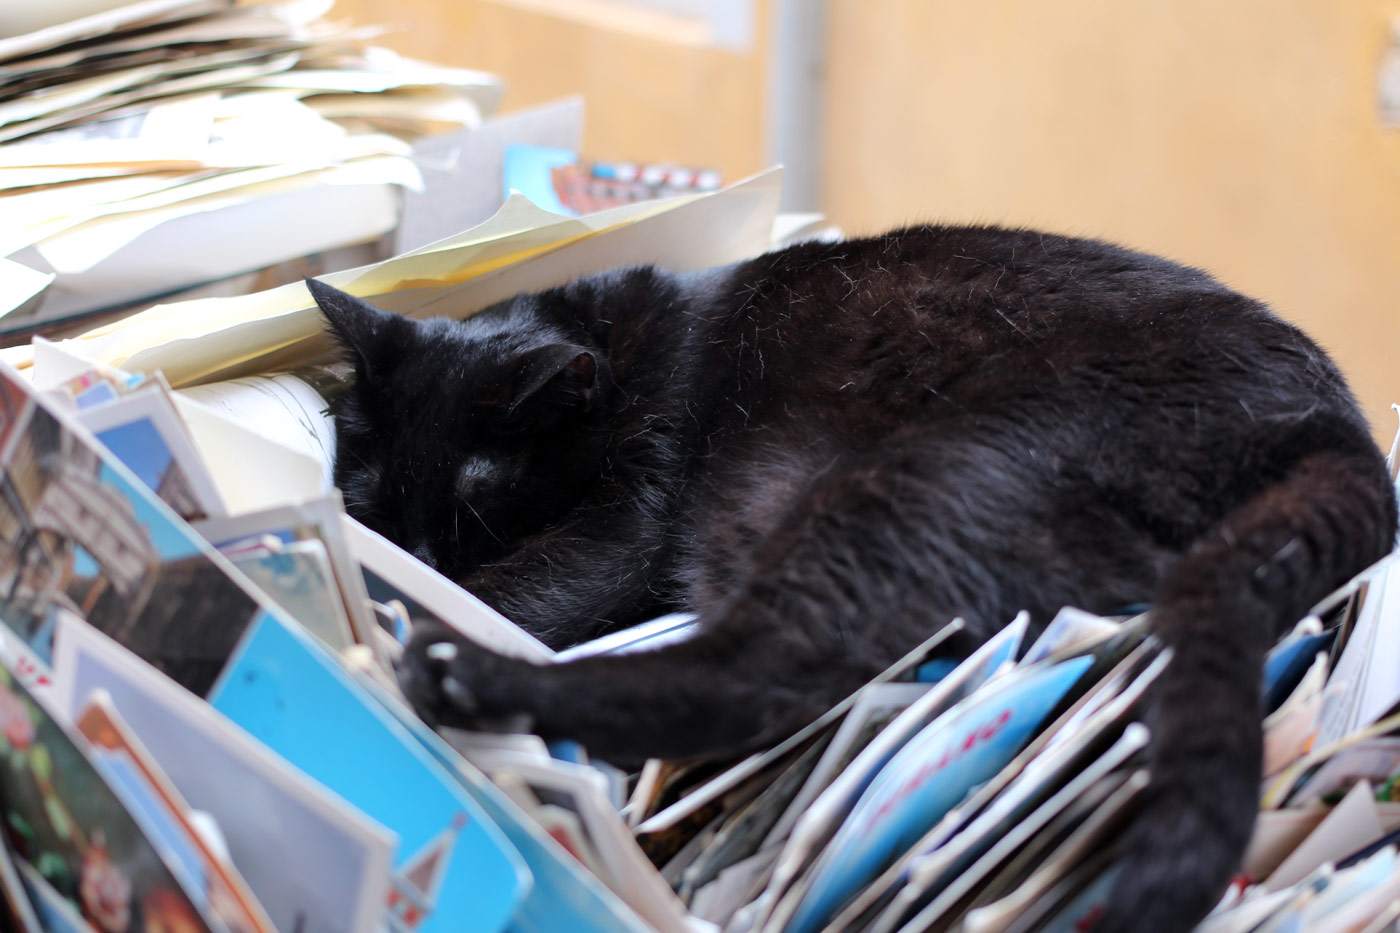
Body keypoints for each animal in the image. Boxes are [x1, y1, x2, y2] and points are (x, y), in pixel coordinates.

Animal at [309, 225, 1400, 930]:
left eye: (477, 507)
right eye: (368, 500)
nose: (418, 565)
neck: (629, 353)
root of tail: (1338, 435)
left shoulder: (629, 520)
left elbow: (526, 594)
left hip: (912, 486)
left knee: (759, 672)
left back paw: (460, 677)